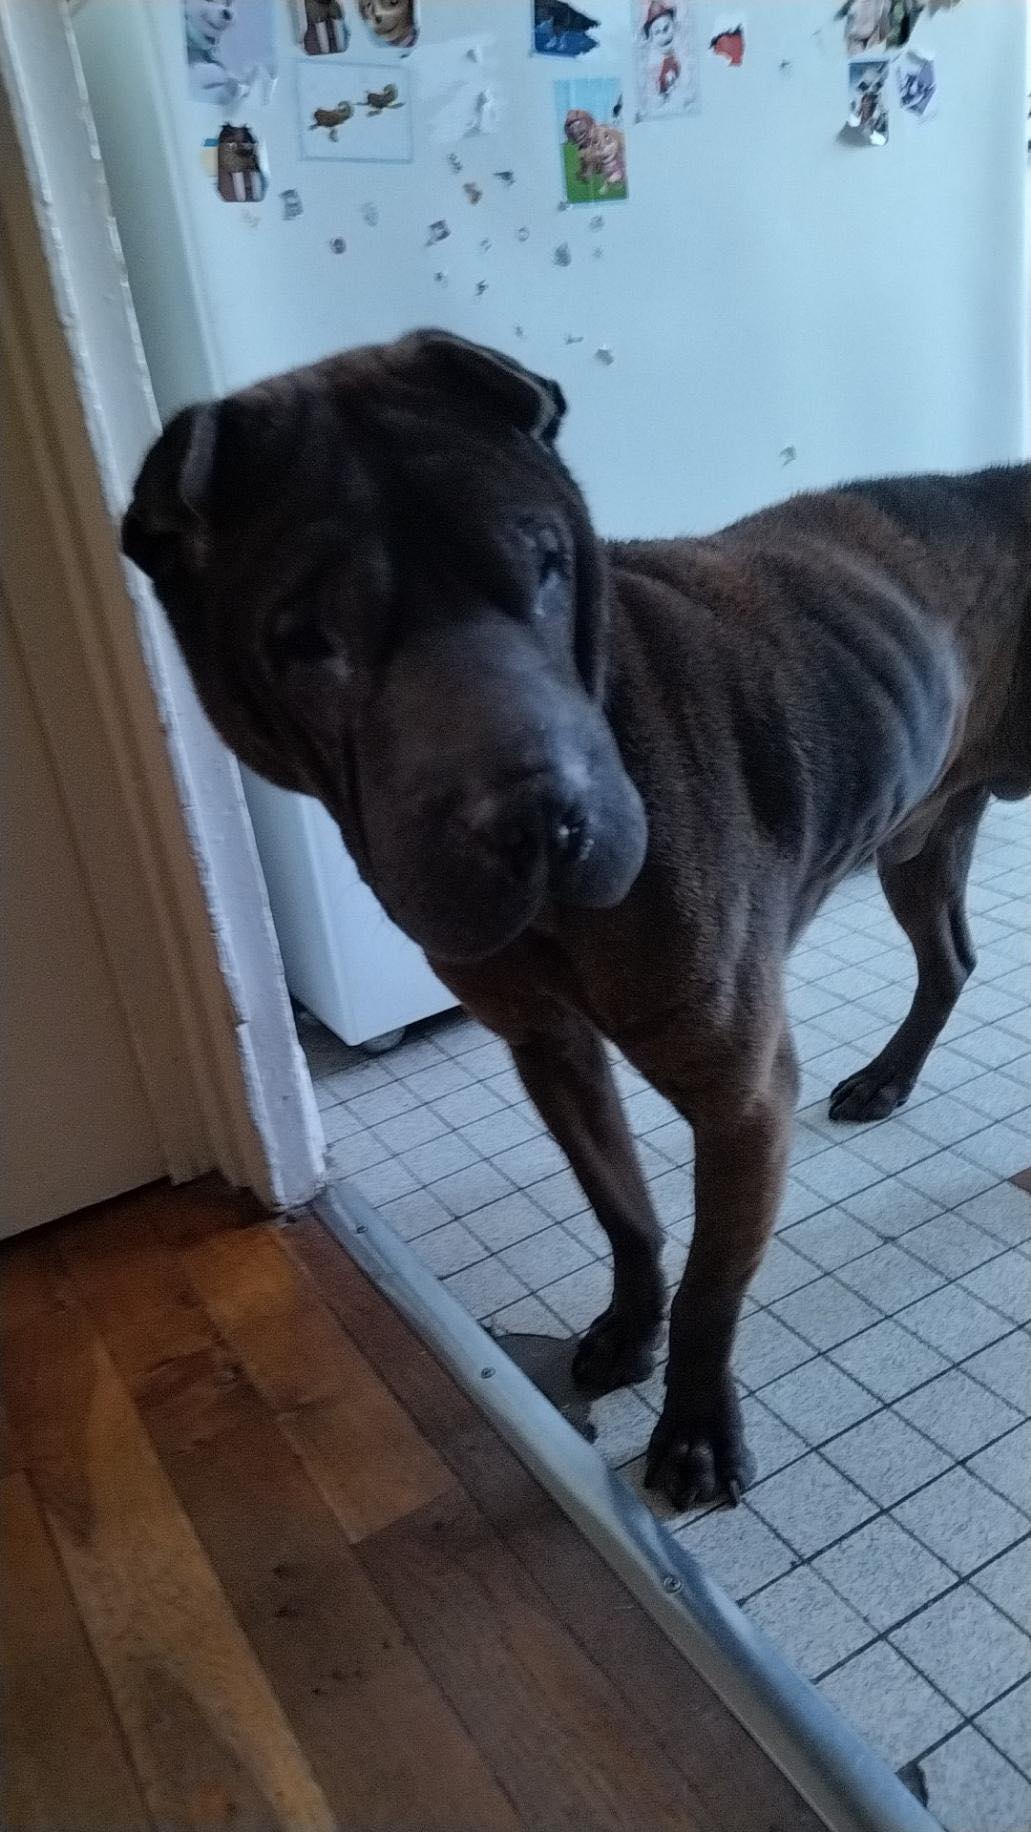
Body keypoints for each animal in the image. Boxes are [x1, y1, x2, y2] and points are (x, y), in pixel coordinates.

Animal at [122, 331, 1030, 1510]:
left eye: (547, 565)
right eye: (307, 639)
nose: (538, 817)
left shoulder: (738, 1092)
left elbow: (711, 1287)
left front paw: (694, 1429)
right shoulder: (549, 1048)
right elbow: (625, 1213)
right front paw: (623, 1328)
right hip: (918, 837)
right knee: (948, 960)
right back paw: (887, 1077)